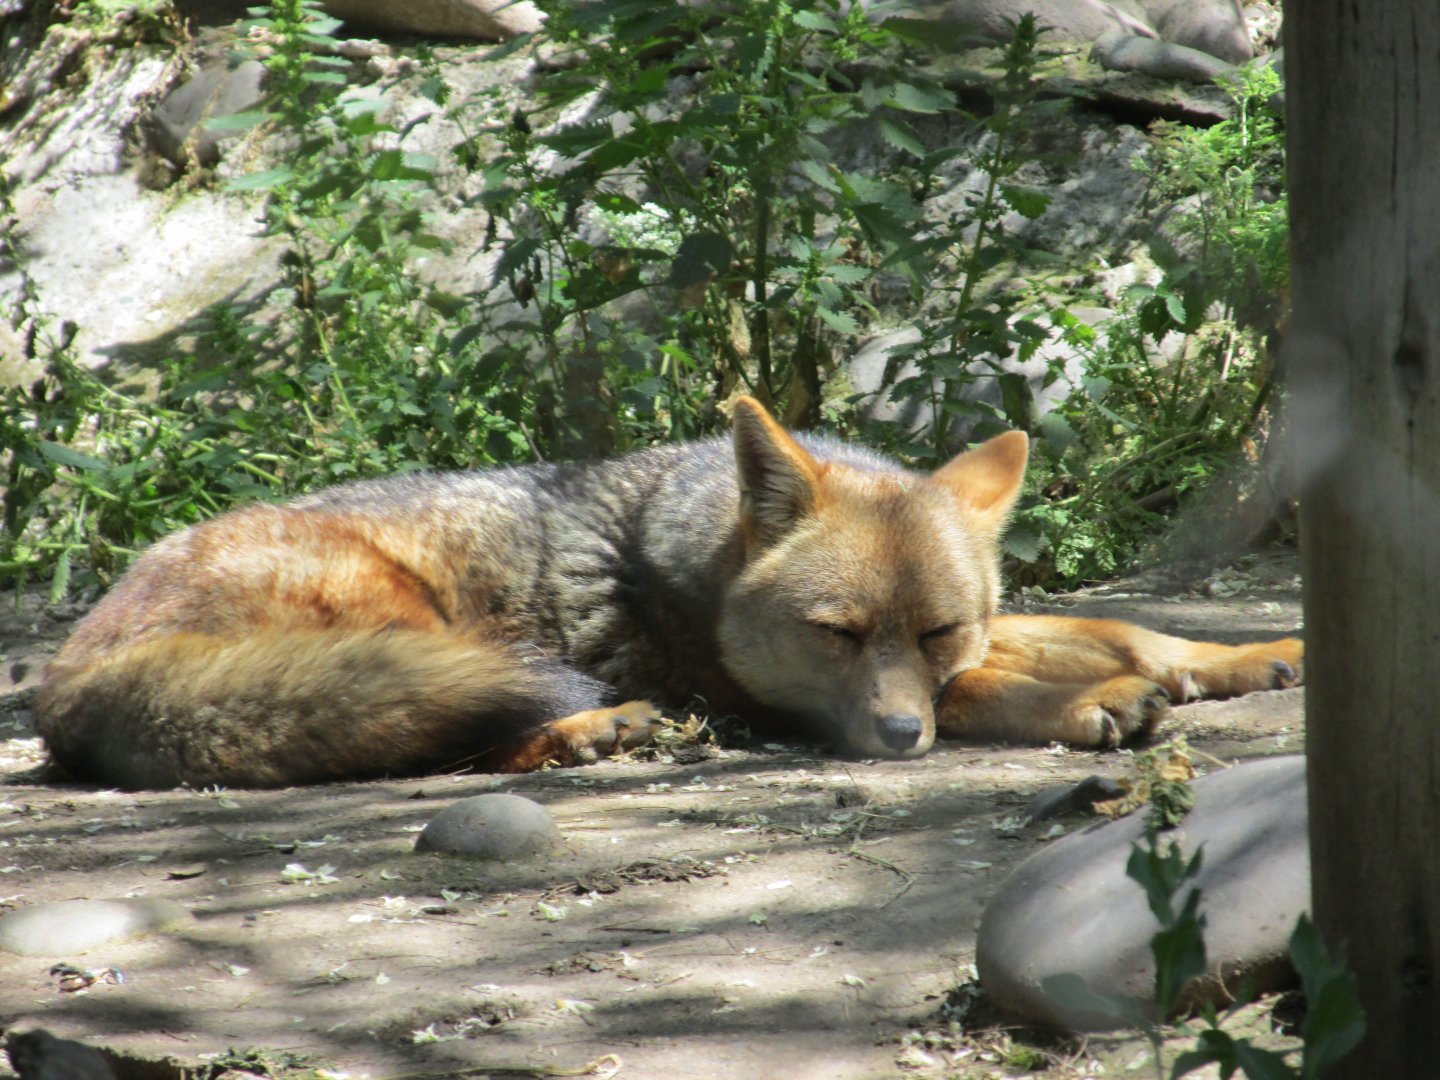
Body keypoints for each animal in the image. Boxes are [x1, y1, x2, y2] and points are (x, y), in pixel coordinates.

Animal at [35, 397, 1303, 790]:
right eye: (835, 634)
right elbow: (1006, 689)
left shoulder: (987, 636)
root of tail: (65, 673)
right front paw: (1092, 703)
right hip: (410, 618)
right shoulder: (770, 699)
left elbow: (1115, 623)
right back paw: (588, 731)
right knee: (438, 734)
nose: (898, 741)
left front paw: (1241, 657)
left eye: (938, 626)